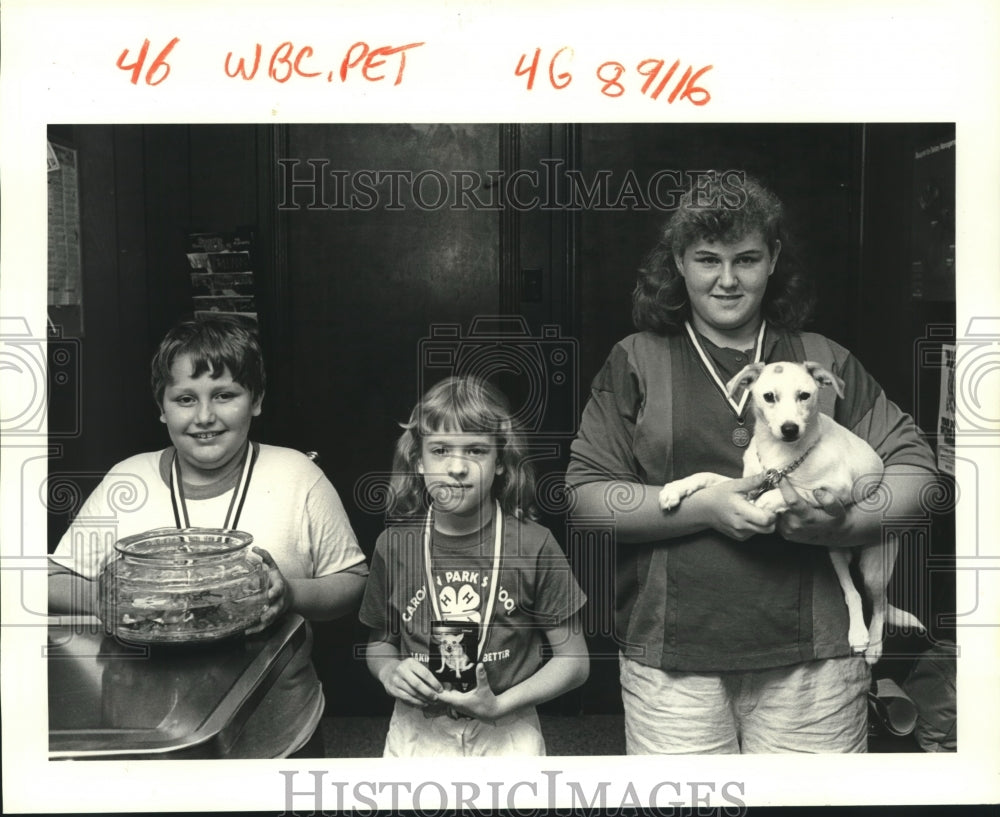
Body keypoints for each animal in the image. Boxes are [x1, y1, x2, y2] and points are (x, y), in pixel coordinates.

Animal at [660, 362, 924, 664]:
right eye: (769, 397)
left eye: (804, 395)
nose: (789, 429)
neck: (781, 456)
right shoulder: (748, 482)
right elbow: (708, 476)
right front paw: (676, 488)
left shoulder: (837, 490)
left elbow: (797, 491)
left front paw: (770, 501)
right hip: (835, 553)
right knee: (853, 594)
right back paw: (858, 634)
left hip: (875, 566)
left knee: (879, 603)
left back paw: (874, 646)